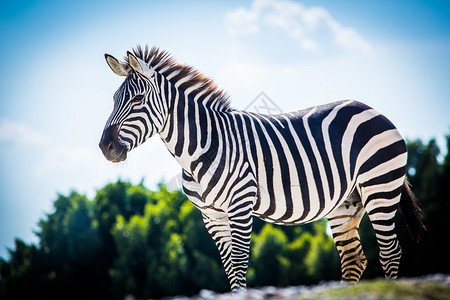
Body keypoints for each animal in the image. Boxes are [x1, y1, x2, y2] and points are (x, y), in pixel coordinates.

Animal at [98, 45, 426, 290]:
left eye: (138, 99)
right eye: (113, 99)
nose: (105, 147)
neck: (200, 149)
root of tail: (373, 109)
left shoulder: (240, 204)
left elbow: (240, 264)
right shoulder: (211, 216)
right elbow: (230, 268)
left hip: (379, 186)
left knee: (389, 251)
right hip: (345, 203)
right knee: (354, 259)